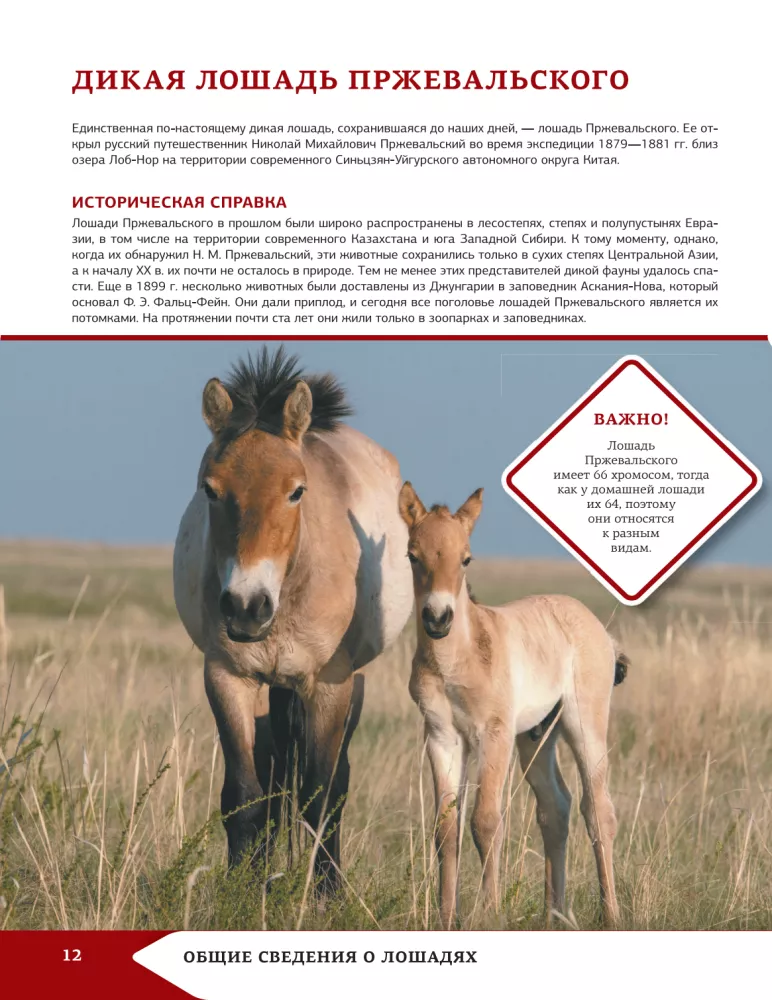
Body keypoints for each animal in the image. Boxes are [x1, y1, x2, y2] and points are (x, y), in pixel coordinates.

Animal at [173, 348, 414, 891]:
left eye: (297, 491)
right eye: (210, 490)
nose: (247, 605)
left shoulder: (330, 684)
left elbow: (321, 797)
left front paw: (326, 895)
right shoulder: (227, 677)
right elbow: (244, 796)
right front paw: (244, 890)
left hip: (349, 686)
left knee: (333, 784)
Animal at [398, 482, 628, 929]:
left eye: (466, 558)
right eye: (412, 556)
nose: (438, 619)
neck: (458, 659)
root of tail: (599, 631)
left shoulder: (494, 735)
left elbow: (485, 821)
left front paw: (489, 913)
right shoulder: (442, 738)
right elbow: (446, 828)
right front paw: (447, 918)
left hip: (583, 726)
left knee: (599, 812)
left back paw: (610, 915)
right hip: (536, 737)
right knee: (556, 808)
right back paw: (555, 915)